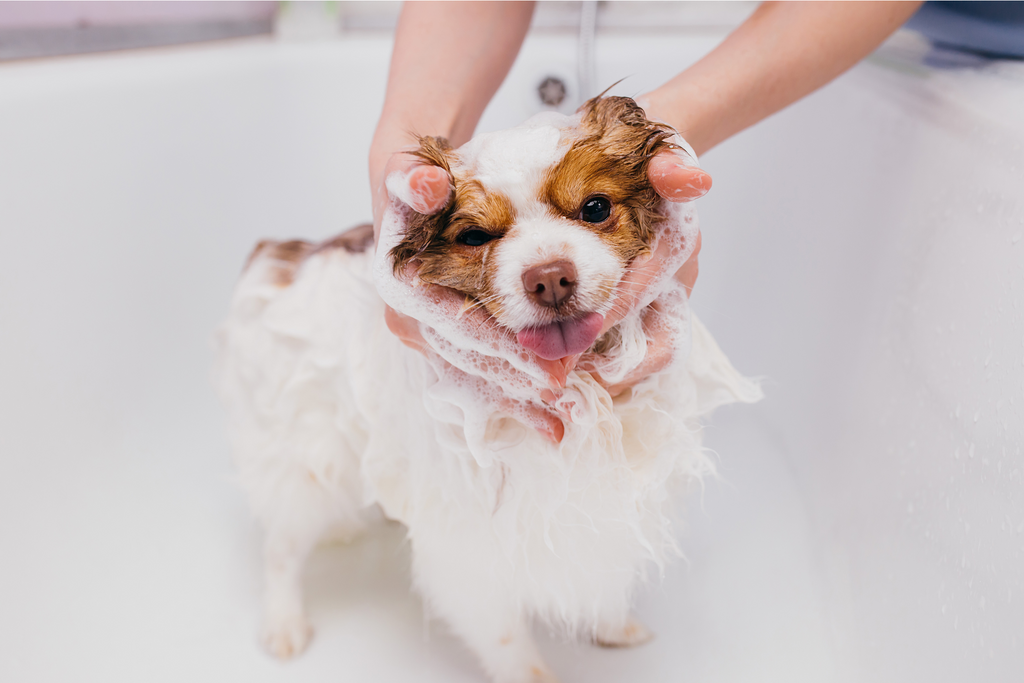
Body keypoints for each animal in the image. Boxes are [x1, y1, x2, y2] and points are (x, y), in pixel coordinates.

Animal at [218, 96, 761, 683]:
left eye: (595, 208)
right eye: (475, 237)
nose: (550, 277)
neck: (581, 395)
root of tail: (282, 257)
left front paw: (613, 626)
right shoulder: (475, 547)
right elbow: (510, 645)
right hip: (308, 462)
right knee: (282, 548)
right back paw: (284, 623)